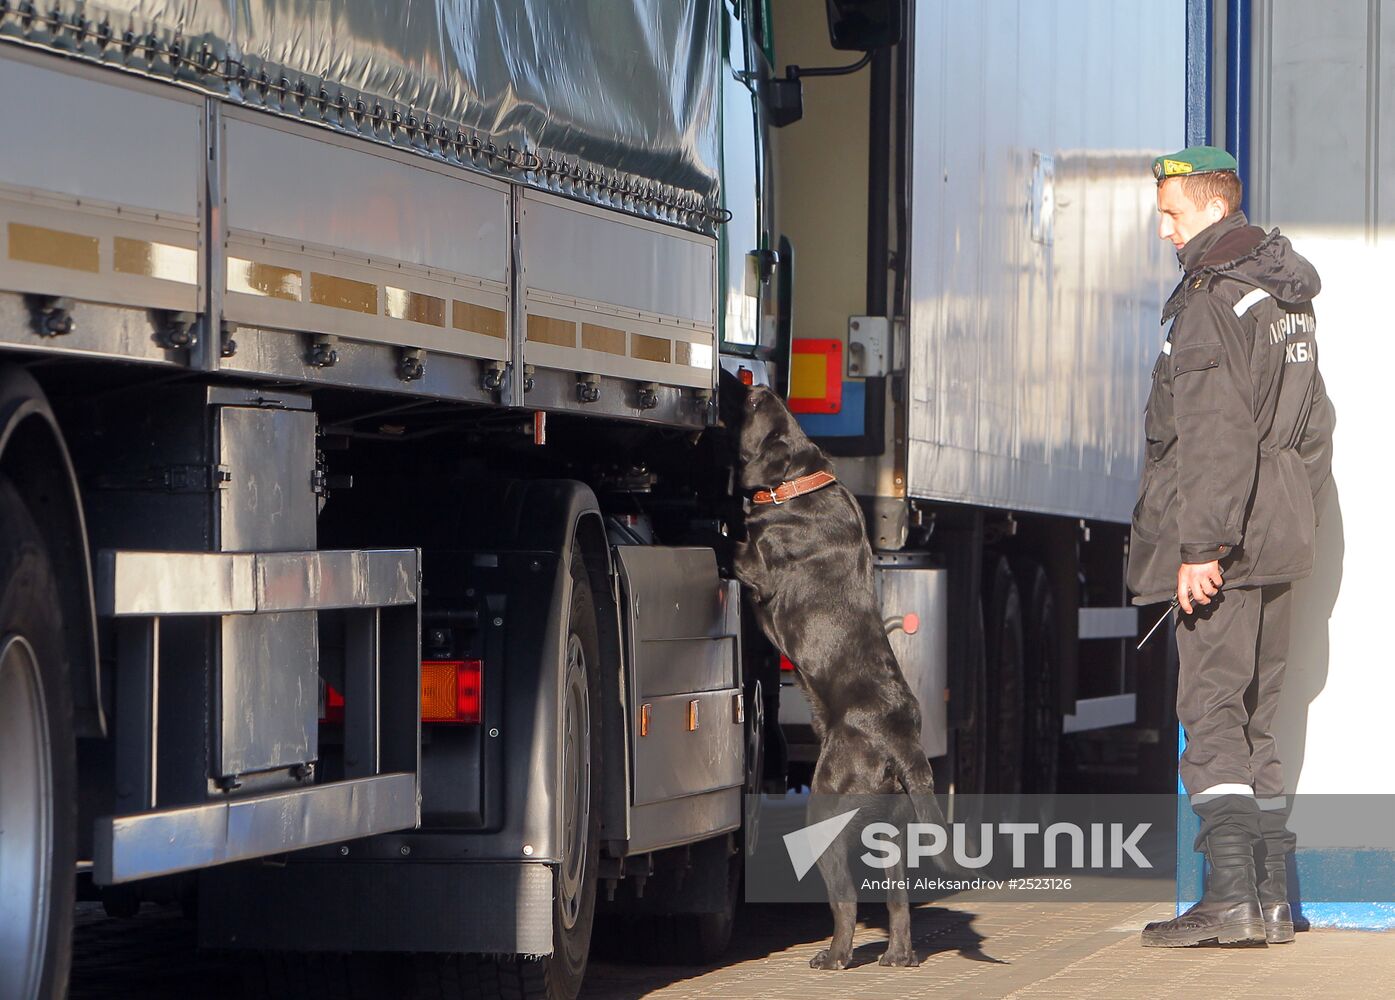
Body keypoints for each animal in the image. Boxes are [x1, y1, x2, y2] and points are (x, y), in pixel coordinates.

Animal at [730, 382, 937, 965]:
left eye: (758, 408)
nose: (754, 385)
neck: (798, 483)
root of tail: (900, 737)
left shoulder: (754, 568)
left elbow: (732, 544)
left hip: (825, 806)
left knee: (845, 899)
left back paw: (835, 955)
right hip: (889, 830)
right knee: (897, 901)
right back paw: (897, 956)